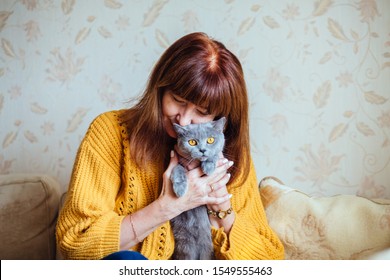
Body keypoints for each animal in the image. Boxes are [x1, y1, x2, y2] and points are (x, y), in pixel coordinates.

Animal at [170, 116, 225, 260]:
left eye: (210, 140)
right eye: (192, 142)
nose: (202, 150)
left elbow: (215, 155)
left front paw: (209, 166)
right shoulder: (179, 162)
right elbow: (177, 169)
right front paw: (180, 189)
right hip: (184, 243)